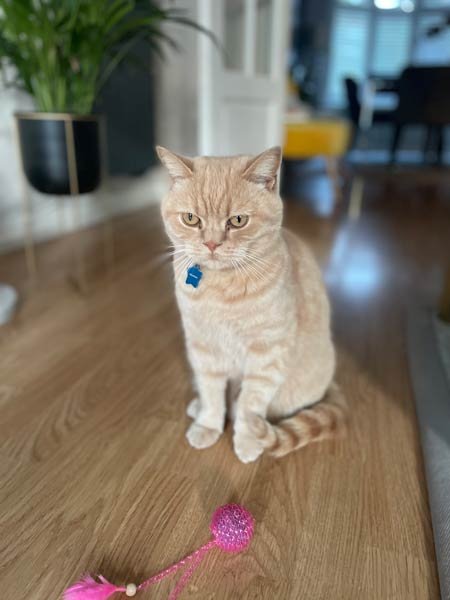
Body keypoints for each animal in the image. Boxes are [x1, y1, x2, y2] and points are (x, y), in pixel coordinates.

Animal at [156, 145, 346, 464]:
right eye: (191, 219)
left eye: (238, 221)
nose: (211, 244)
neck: (221, 289)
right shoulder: (203, 347)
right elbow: (211, 391)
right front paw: (208, 424)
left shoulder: (267, 355)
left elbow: (250, 403)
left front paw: (248, 439)